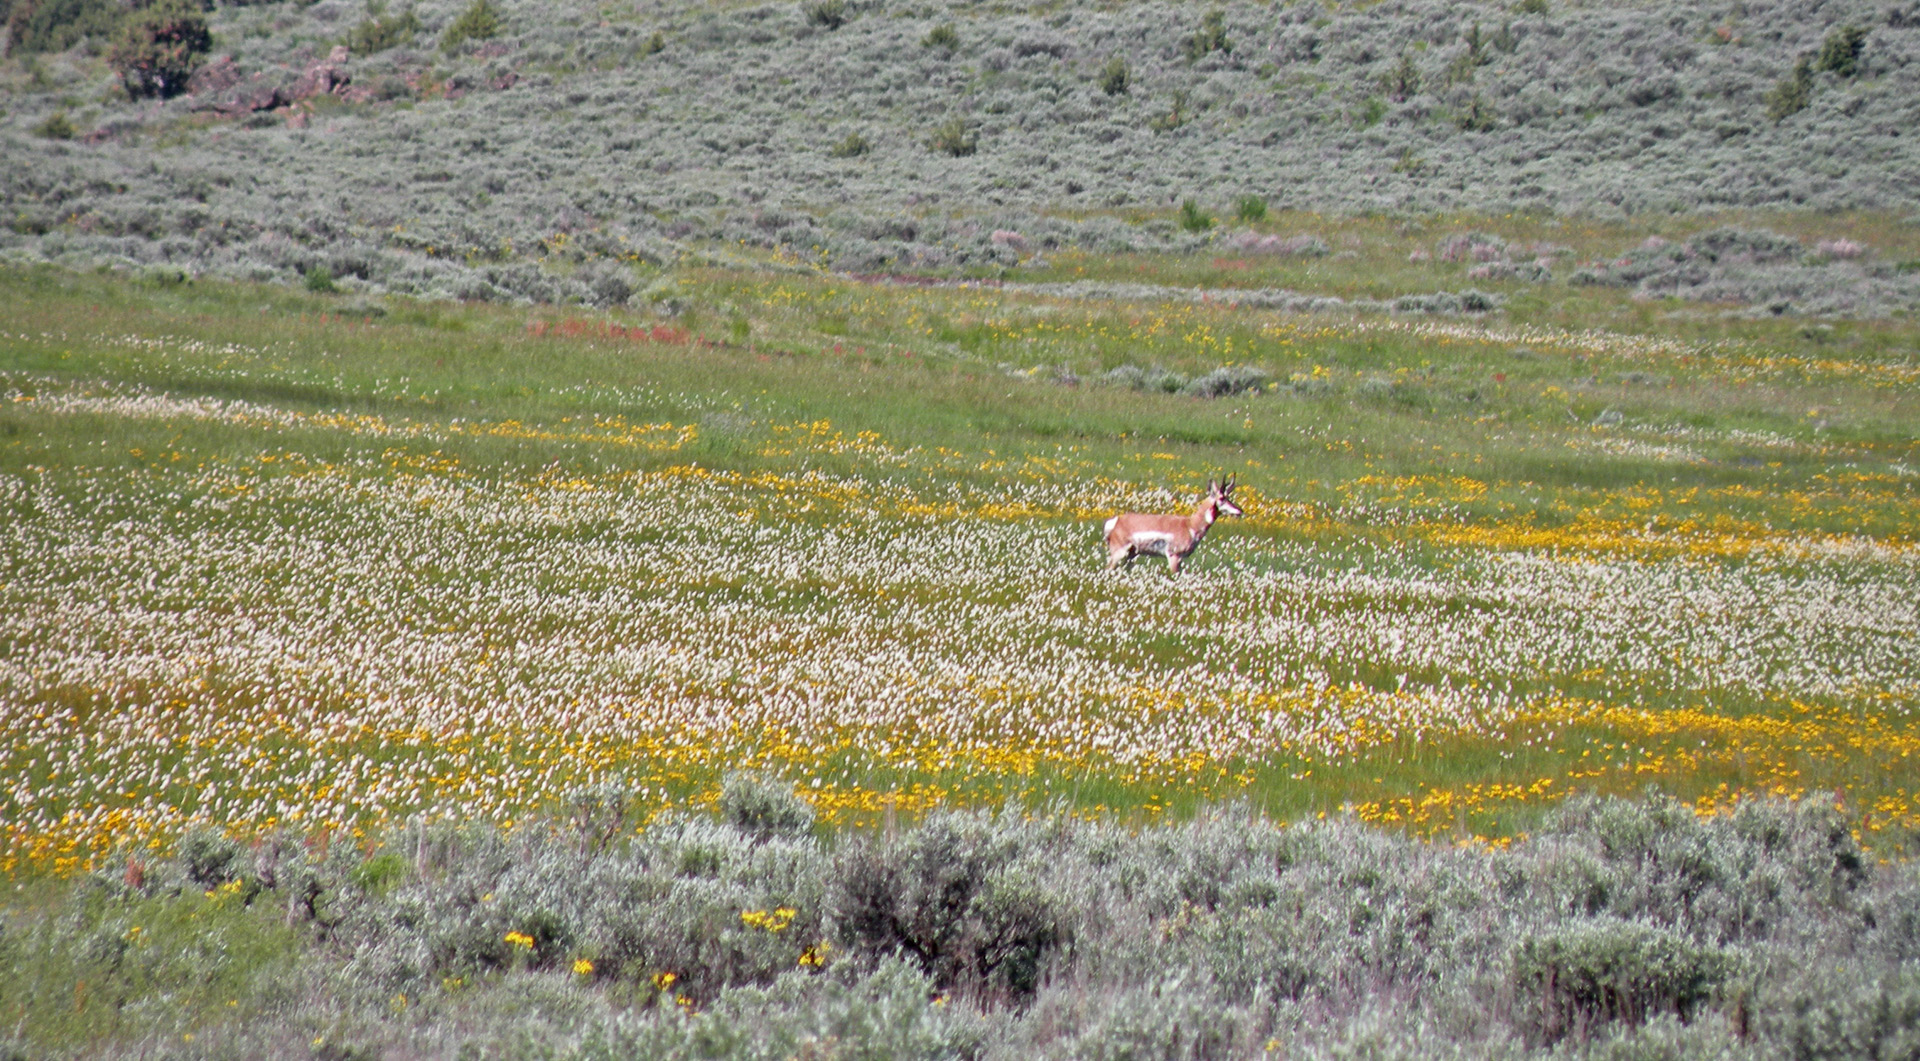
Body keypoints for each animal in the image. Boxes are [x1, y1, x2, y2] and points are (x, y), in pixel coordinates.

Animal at [1113, 473, 1244, 571]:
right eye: (1221, 498)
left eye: (1229, 498)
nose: (1240, 511)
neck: (1190, 524)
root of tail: (1118, 520)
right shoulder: (1174, 557)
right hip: (1119, 554)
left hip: (1131, 555)